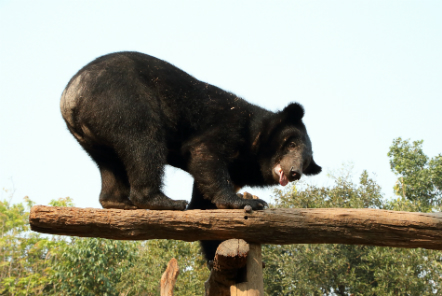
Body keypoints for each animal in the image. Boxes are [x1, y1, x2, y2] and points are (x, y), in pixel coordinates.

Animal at [59, 51, 322, 262]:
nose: (294, 172)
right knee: (143, 142)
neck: (253, 143)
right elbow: (205, 154)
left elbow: (203, 201)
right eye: (291, 144)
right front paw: (248, 202)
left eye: (306, 162)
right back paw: (165, 202)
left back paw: (118, 202)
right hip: (122, 102)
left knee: (109, 162)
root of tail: (71, 95)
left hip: (92, 134)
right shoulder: (226, 127)